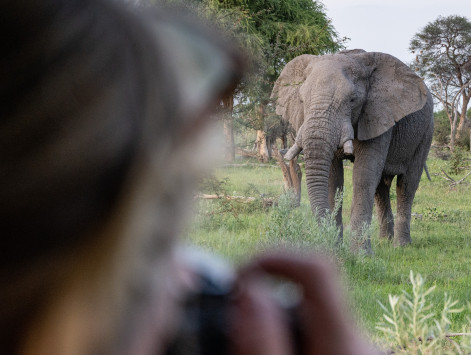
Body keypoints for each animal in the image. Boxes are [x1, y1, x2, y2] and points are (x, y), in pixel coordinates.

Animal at [272, 50, 436, 252]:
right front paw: (335, 247)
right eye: (302, 100)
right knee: (381, 188)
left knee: (406, 184)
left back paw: (401, 246)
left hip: (426, 131)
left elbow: (363, 176)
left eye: (352, 100)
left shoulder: (377, 115)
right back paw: (384, 241)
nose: (326, 242)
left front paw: (360, 254)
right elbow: (333, 178)